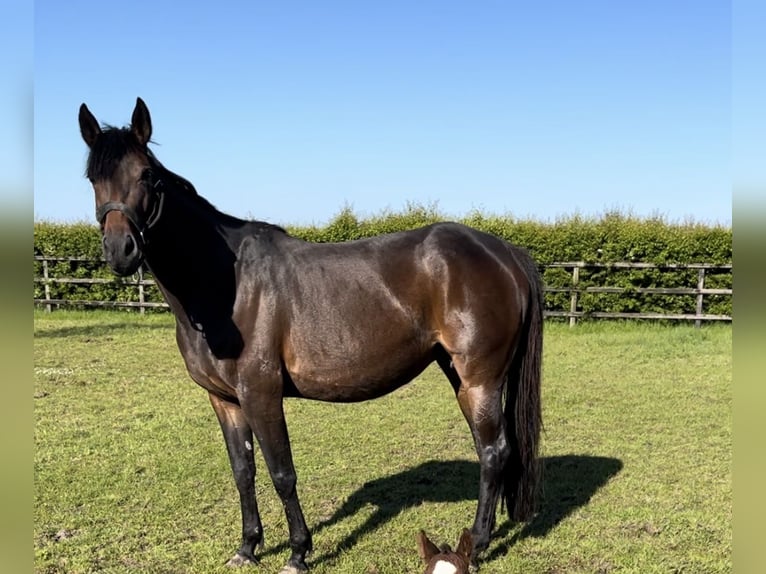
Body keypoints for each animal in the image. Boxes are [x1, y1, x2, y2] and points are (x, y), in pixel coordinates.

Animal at [79, 99, 544, 574]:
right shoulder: (225, 400)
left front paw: (298, 552)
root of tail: (504, 252)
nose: (120, 250)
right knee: (490, 449)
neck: (224, 284)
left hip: (481, 379)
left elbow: (282, 473)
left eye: (145, 175)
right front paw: (248, 547)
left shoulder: (261, 394)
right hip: (459, 375)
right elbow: (243, 472)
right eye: (92, 177)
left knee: (494, 451)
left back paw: (480, 542)